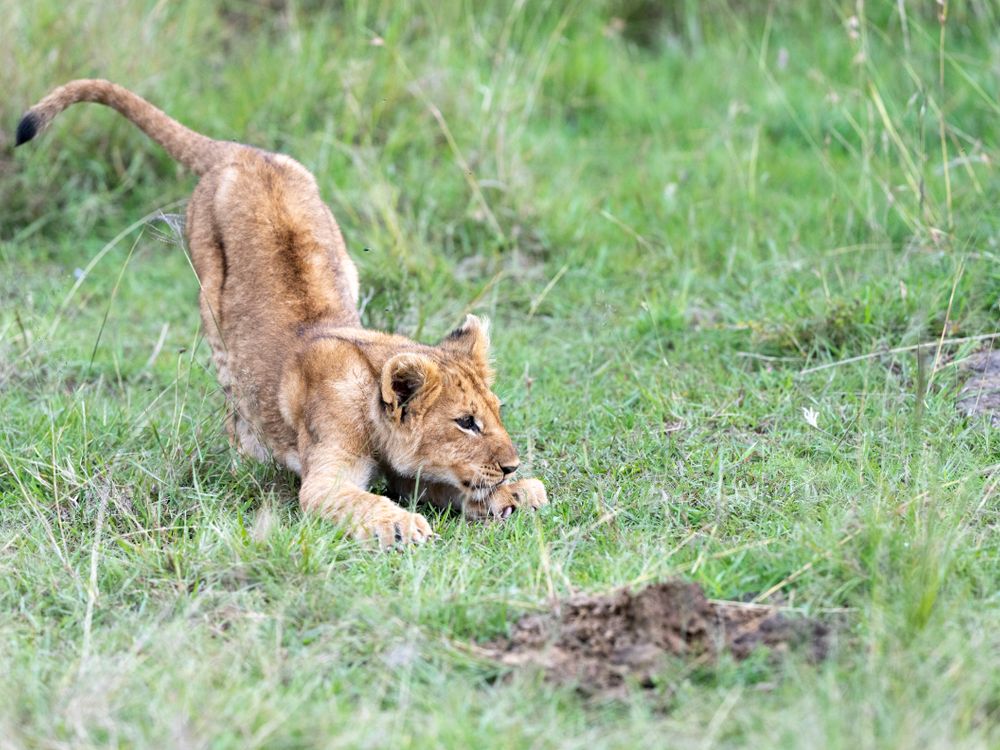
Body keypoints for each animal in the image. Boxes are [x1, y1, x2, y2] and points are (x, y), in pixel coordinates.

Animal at [15, 79, 547, 547]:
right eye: (465, 422)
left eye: (496, 412)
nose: (513, 464)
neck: (369, 397)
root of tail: (241, 151)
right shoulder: (324, 481)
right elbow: (362, 501)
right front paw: (401, 525)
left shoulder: (413, 475)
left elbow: (452, 485)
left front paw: (518, 493)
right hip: (213, 311)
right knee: (234, 404)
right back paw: (249, 457)